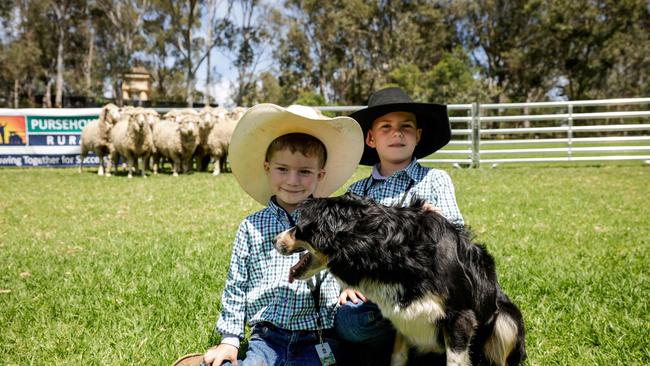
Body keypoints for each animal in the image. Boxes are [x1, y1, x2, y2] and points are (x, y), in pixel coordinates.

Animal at [270, 193, 524, 364]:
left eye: (298, 227)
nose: (274, 239)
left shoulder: (460, 317)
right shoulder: (402, 318)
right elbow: (397, 356)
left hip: (506, 321)